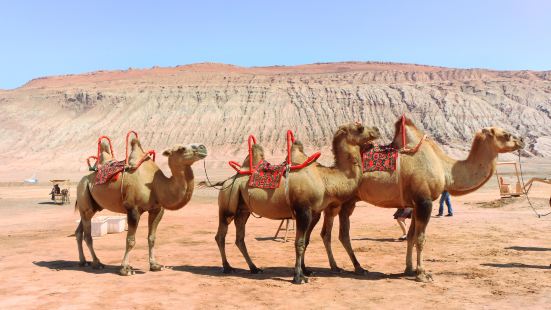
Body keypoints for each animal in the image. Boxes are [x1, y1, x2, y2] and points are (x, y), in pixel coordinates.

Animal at [75, 138, 207, 276]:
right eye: (181, 148)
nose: (203, 147)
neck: (156, 185)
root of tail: (83, 179)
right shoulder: (133, 209)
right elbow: (130, 240)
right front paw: (125, 269)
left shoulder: (157, 210)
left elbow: (152, 238)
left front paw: (155, 265)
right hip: (83, 193)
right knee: (87, 236)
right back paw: (97, 263)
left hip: (91, 207)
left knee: (79, 231)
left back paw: (83, 261)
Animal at [215, 123, 380, 284]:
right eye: (360, 127)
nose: (377, 130)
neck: (325, 179)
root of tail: (226, 181)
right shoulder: (303, 210)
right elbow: (299, 243)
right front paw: (298, 277)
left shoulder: (315, 213)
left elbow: (305, 241)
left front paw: (306, 270)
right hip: (227, 205)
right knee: (221, 235)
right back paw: (227, 267)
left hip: (243, 210)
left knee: (239, 238)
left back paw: (254, 268)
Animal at [316, 117, 524, 282]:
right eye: (506, 134)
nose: (522, 140)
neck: (445, 168)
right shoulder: (425, 201)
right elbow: (421, 238)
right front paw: (423, 273)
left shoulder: (415, 204)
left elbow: (411, 236)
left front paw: (409, 270)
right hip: (341, 202)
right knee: (336, 233)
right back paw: (344, 267)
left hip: (346, 202)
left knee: (335, 233)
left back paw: (352, 268)